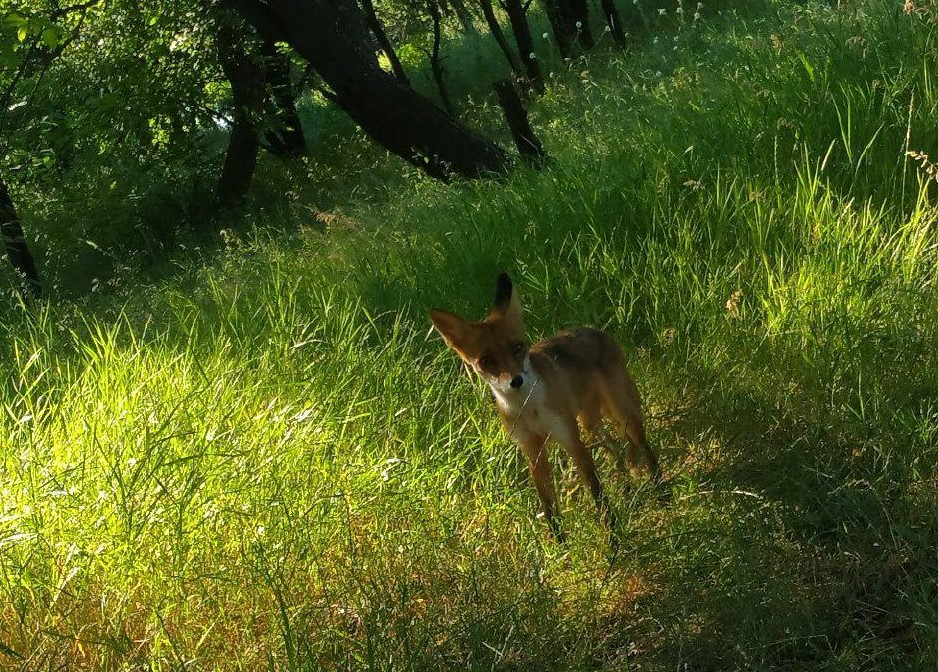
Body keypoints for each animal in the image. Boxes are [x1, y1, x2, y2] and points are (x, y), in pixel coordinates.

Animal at [432, 272, 660, 540]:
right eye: (486, 361)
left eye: (518, 347)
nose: (515, 381)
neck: (529, 409)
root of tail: (594, 330)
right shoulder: (532, 450)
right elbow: (549, 508)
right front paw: (560, 546)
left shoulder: (570, 440)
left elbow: (597, 493)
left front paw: (614, 538)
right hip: (589, 422)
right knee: (614, 449)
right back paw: (627, 491)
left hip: (622, 414)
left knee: (645, 449)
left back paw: (662, 493)